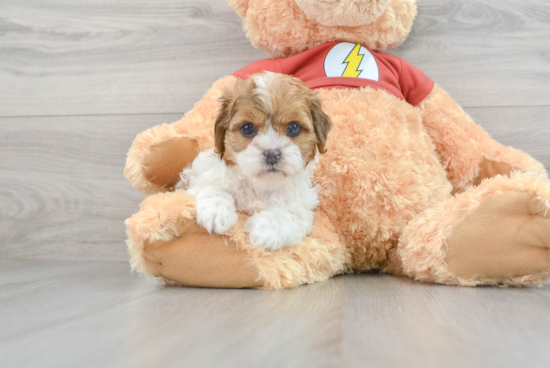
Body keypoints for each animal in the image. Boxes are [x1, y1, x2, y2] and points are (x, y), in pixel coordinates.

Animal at [177, 72, 332, 250]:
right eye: (247, 128)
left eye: (294, 128)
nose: (272, 154)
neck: (260, 185)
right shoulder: (203, 175)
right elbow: (211, 188)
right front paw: (216, 211)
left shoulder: (301, 205)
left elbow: (289, 215)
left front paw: (266, 229)